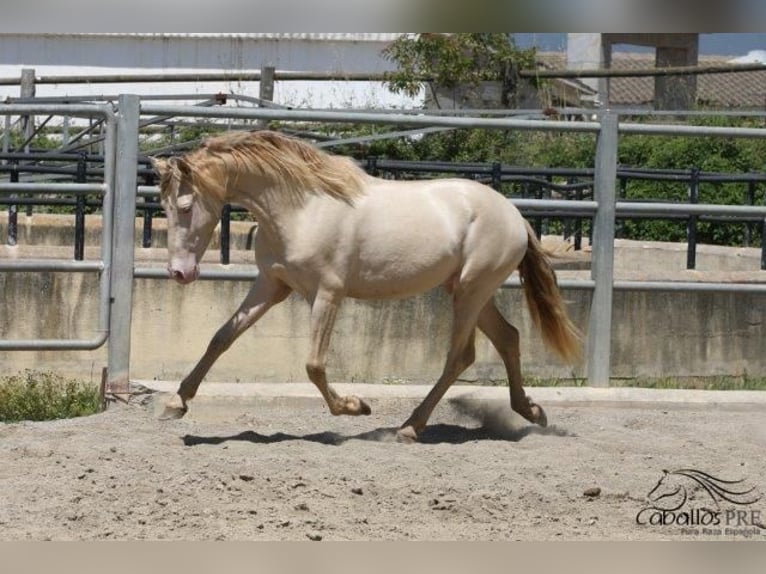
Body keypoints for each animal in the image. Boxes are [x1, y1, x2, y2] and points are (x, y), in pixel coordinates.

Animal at [148, 132, 584, 446]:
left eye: (185, 206)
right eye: (164, 206)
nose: (179, 273)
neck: (301, 209)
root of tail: (513, 214)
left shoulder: (328, 294)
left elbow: (314, 365)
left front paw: (356, 407)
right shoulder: (272, 286)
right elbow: (221, 338)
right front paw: (175, 403)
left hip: (470, 292)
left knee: (460, 357)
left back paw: (409, 427)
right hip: (470, 291)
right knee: (508, 338)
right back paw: (531, 411)